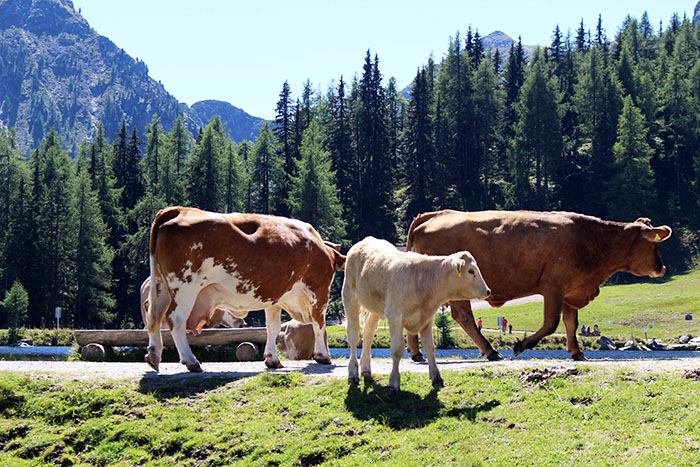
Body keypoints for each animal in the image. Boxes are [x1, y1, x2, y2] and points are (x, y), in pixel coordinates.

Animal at [146, 207, 348, 372]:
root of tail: (180, 210)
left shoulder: (275, 297)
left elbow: (272, 327)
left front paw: (272, 359)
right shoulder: (319, 291)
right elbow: (319, 324)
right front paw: (323, 356)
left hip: (160, 286)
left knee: (154, 316)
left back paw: (154, 355)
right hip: (185, 287)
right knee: (176, 319)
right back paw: (191, 361)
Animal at [342, 236, 490, 394]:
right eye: (471, 271)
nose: (488, 291)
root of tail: (365, 240)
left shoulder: (427, 318)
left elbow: (430, 347)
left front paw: (437, 378)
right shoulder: (395, 317)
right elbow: (397, 350)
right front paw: (393, 383)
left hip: (375, 307)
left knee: (368, 332)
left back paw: (365, 368)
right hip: (349, 297)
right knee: (353, 336)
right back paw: (353, 373)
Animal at [404, 211, 672, 362]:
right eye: (654, 244)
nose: (662, 268)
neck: (590, 239)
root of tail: (431, 216)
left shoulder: (571, 289)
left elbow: (571, 323)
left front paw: (576, 352)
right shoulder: (553, 286)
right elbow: (551, 323)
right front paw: (520, 345)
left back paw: (417, 353)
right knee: (464, 318)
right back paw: (490, 351)